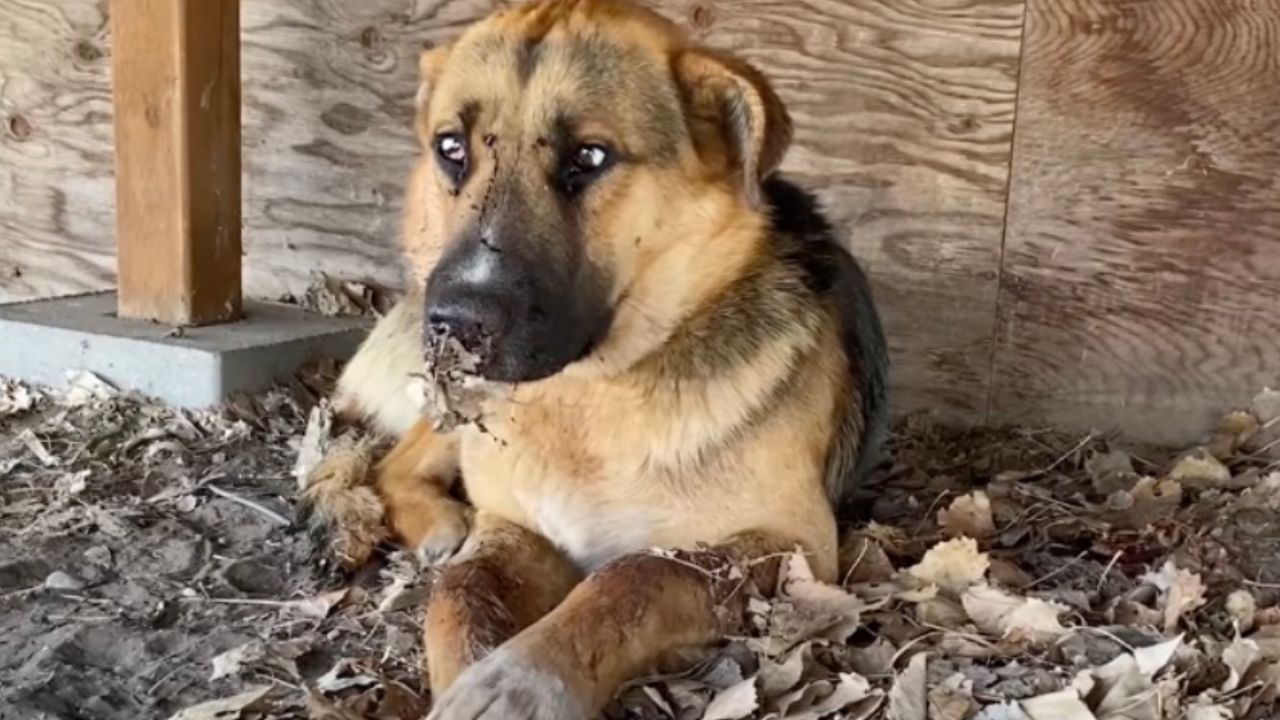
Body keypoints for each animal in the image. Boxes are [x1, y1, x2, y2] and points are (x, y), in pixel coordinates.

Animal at [300, 2, 885, 712]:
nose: (454, 324)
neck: (588, 398)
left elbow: (636, 576)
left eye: (591, 155)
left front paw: (519, 679)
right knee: (394, 465)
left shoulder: (791, 545)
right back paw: (439, 522)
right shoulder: (512, 526)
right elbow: (460, 594)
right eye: (451, 148)